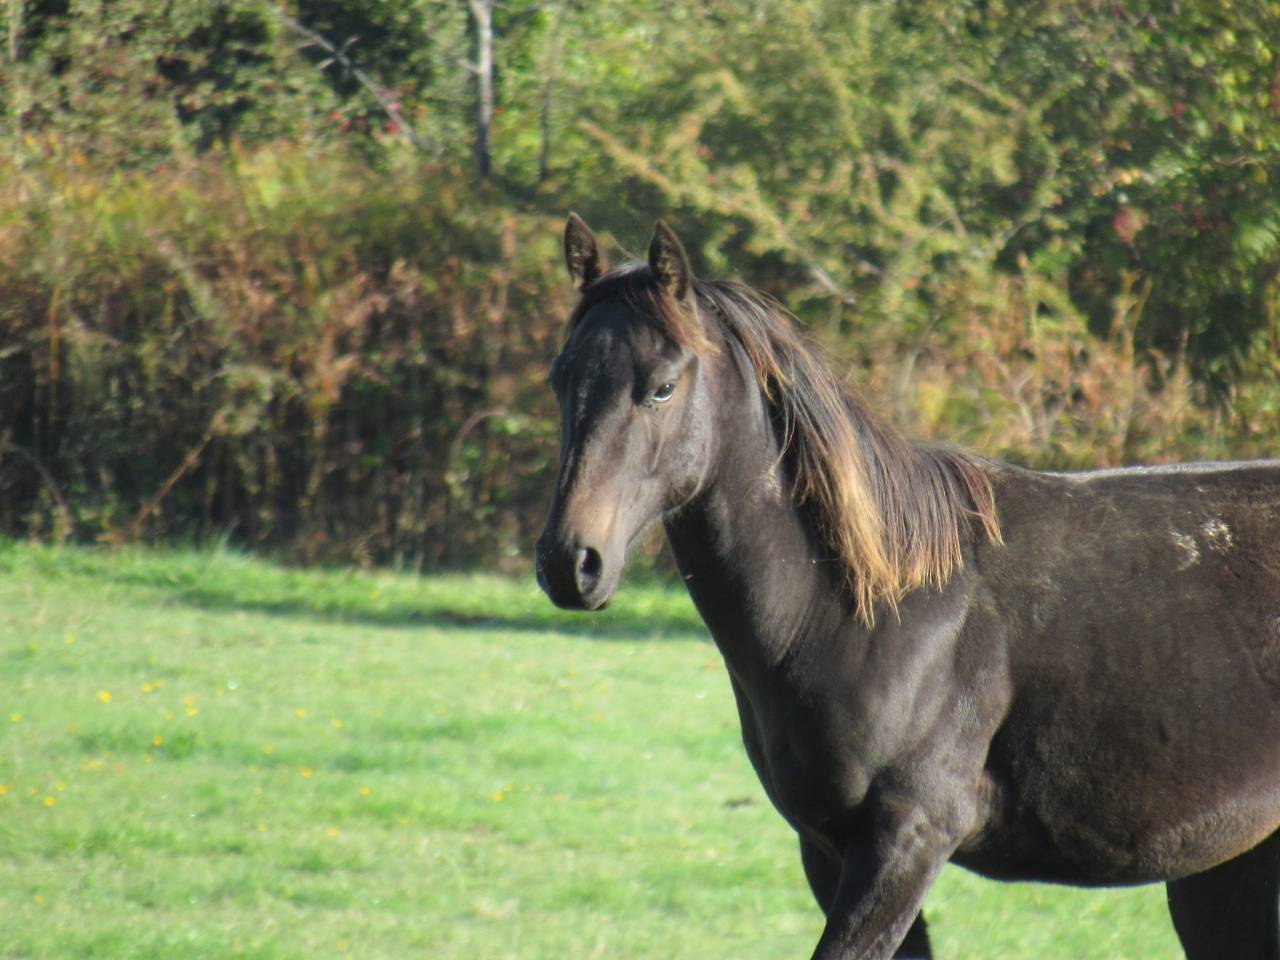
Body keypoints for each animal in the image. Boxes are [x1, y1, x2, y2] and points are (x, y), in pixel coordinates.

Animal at [534, 213, 1280, 960]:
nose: (570, 562)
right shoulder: (829, 850)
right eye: (561, 377)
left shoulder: (906, 841)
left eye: (661, 386)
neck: (873, 611)